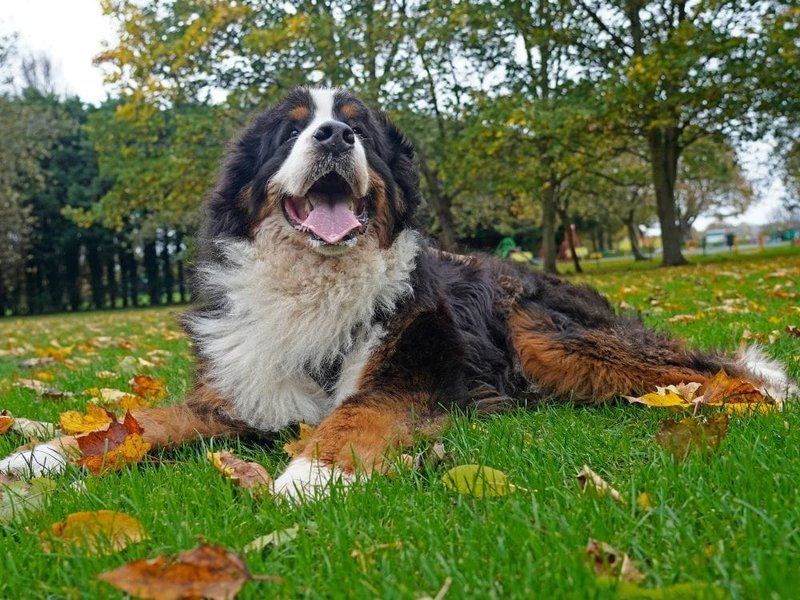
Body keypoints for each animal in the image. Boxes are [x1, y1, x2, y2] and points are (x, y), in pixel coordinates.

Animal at [1, 88, 792, 496]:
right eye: (291, 130)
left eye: (360, 129)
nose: (333, 136)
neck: (315, 285)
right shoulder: (235, 397)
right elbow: (134, 424)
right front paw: (34, 463)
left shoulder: (410, 377)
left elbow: (356, 416)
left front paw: (308, 472)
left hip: (550, 340)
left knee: (693, 369)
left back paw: (759, 394)